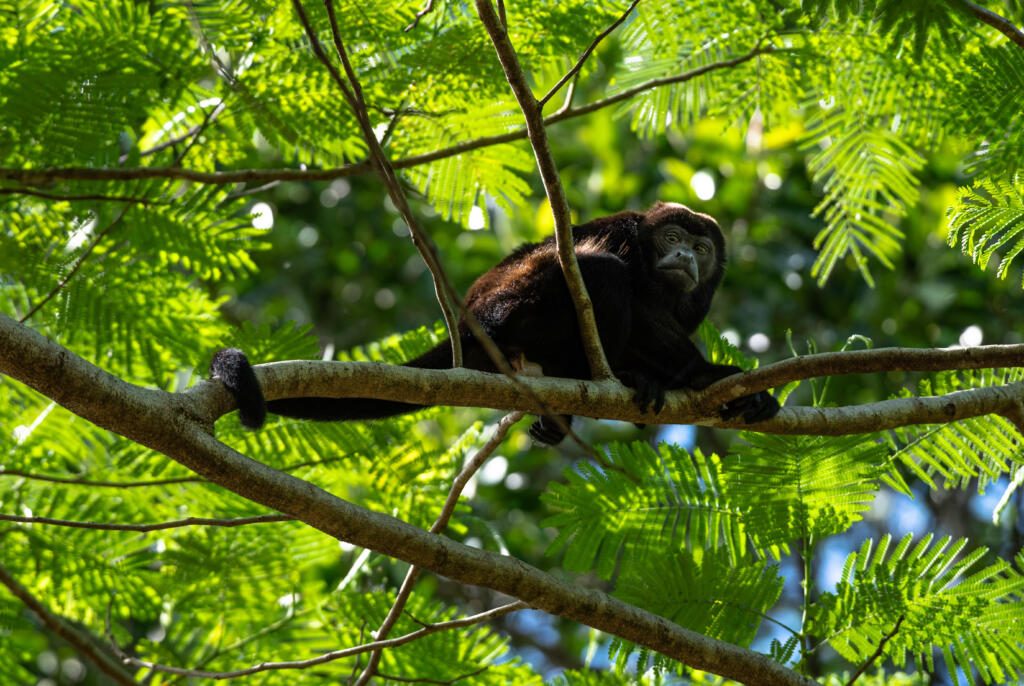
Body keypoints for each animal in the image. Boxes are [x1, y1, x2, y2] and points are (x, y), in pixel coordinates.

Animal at [211, 201, 778, 446]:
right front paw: (703, 375)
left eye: (701, 249)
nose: (683, 255)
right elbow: (636, 306)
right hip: (514, 306)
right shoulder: (625, 237)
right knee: (601, 272)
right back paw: (617, 379)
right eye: (672, 238)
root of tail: (469, 322)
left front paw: (740, 395)